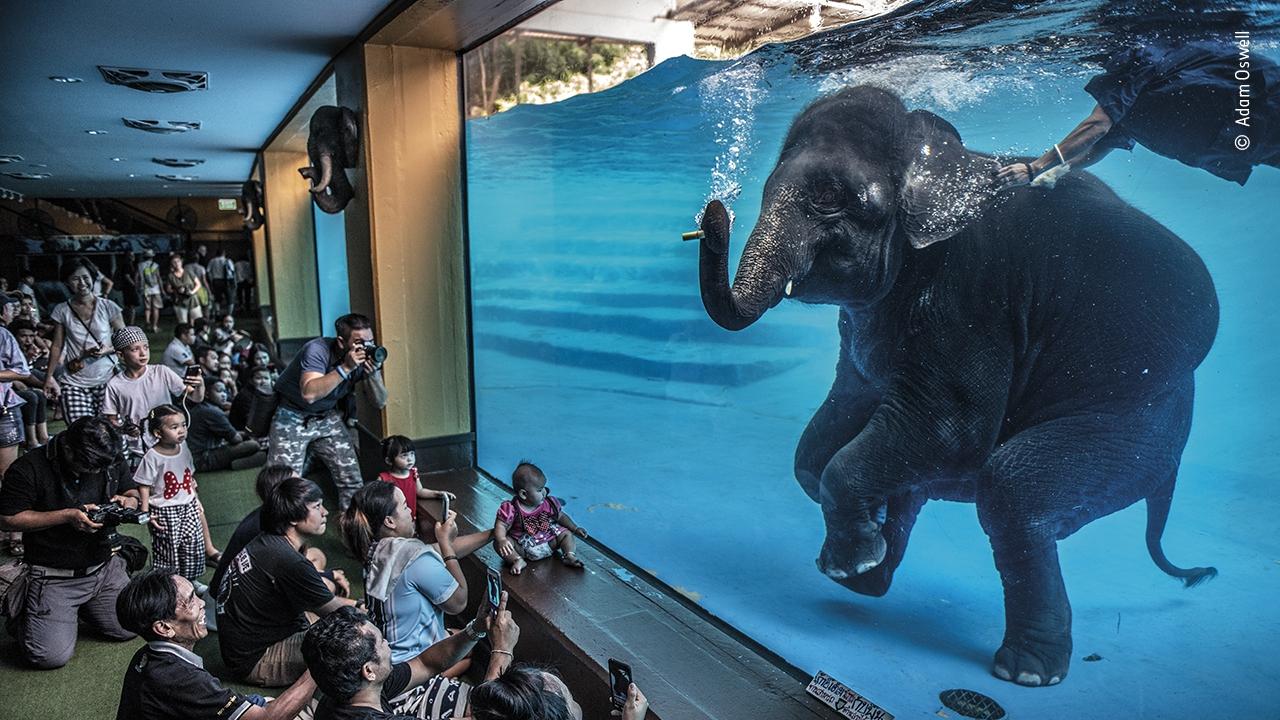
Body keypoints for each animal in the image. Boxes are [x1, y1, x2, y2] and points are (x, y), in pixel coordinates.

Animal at [701, 87, 1218, 686]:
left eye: (829, 197)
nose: (714, 213)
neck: (936, 154)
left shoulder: (975, 294)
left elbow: (949, 430)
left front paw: (852, 555)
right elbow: (832, 427)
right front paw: (867, 536)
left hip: (1135, 422)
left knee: (1010, 490)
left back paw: (1025, 673)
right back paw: (873, 577)